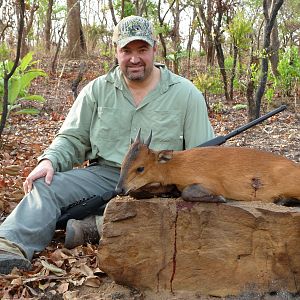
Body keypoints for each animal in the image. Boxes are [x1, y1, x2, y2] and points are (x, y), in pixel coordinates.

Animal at [116, 129, 300, 204]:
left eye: (140, 168)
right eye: (122, 165)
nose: (119, 189)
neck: (175, 167)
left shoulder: (212, 182)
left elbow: (187, 192)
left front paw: (219, 198)